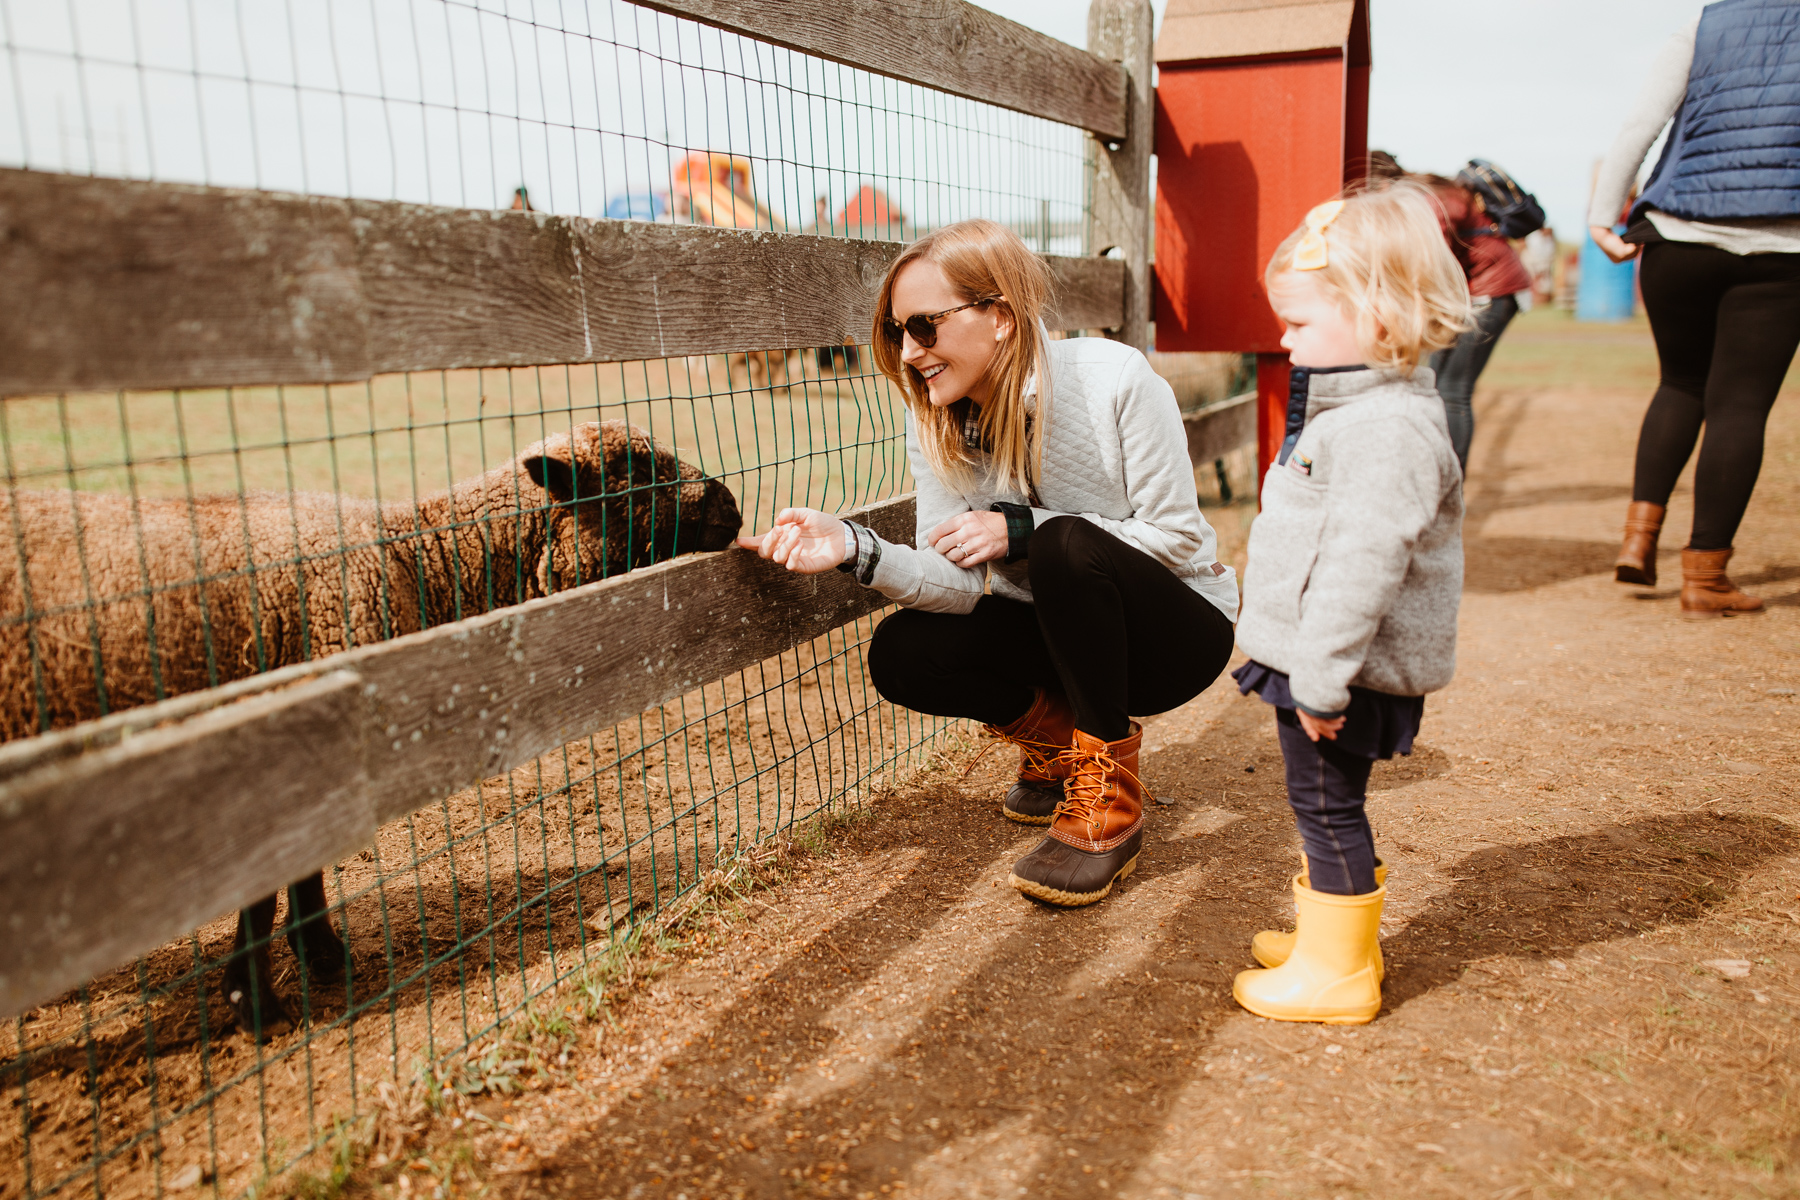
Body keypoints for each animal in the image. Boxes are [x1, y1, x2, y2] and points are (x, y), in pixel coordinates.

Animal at [0, 417, 738, 1036]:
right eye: (632, 468)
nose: (732, 506)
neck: (420, 558)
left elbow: (305, 873)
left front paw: (322, 955)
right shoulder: (281, 751)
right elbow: (265, 890)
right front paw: (257, 1005)